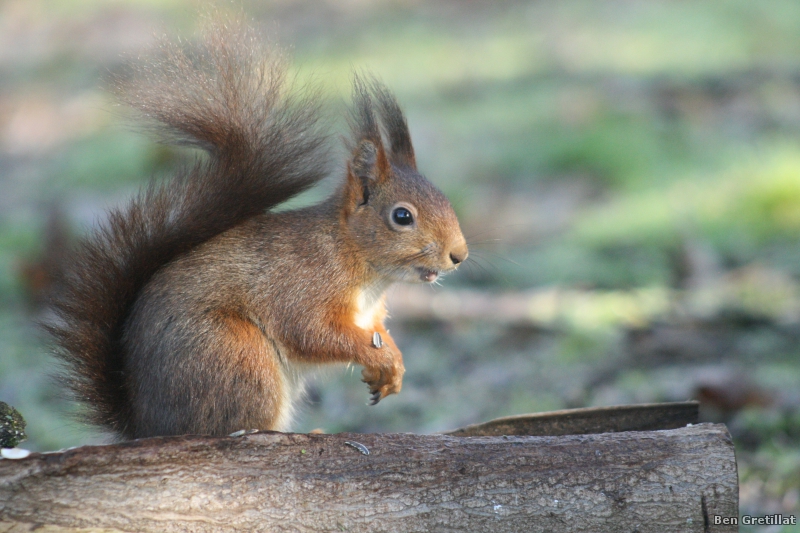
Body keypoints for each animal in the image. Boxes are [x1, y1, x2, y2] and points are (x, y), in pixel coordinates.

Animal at [47, 21, 466, 436]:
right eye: (402, 217)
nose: (459, 255)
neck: (354, 256)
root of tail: (145, 425)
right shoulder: (301, 286)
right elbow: (313, 332)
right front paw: (380, 358)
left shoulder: (369, 314)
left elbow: (375, 332)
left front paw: (391, 366)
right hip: (238, 356)